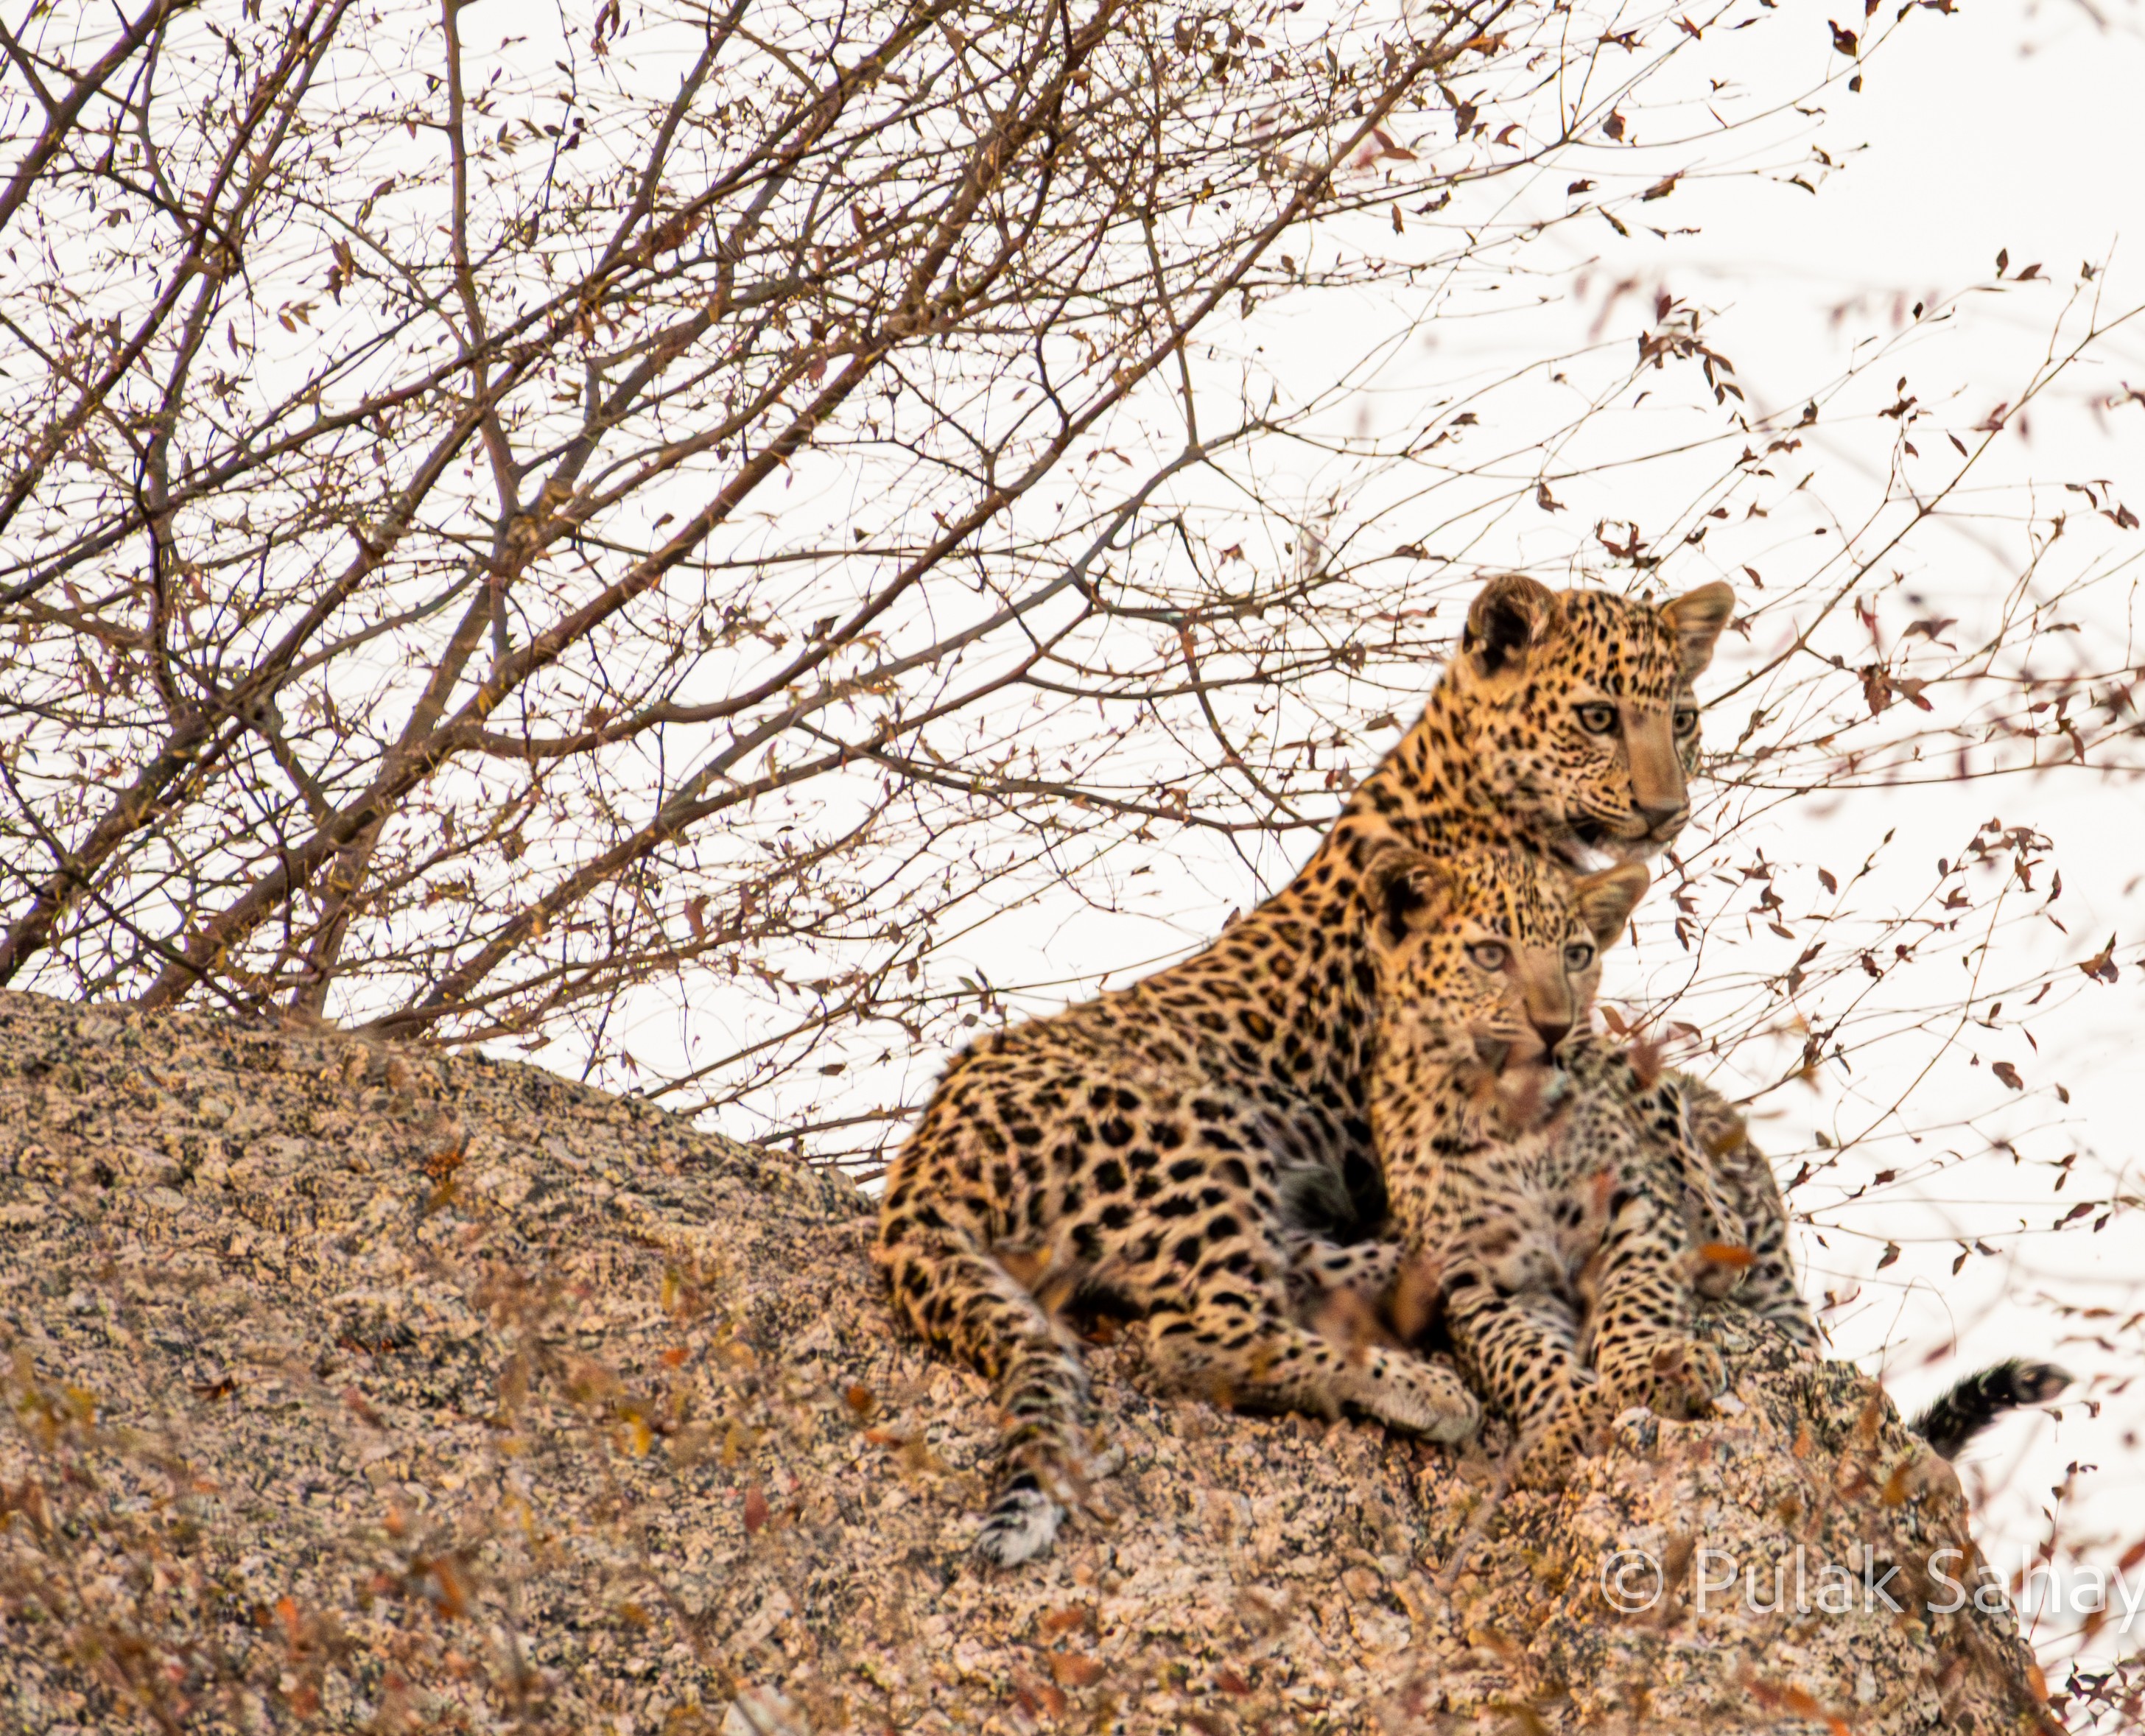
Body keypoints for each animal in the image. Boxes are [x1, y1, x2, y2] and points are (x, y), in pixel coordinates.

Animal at [873, 574, 1740, 1565]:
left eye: (1680, 719)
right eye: (1597, 716)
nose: (1664, 811)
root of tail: (919, 1157)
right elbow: (1648, 1082)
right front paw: (1714, 1224)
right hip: (1196, 1134)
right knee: (1198, 1335)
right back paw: (1423, 1386)